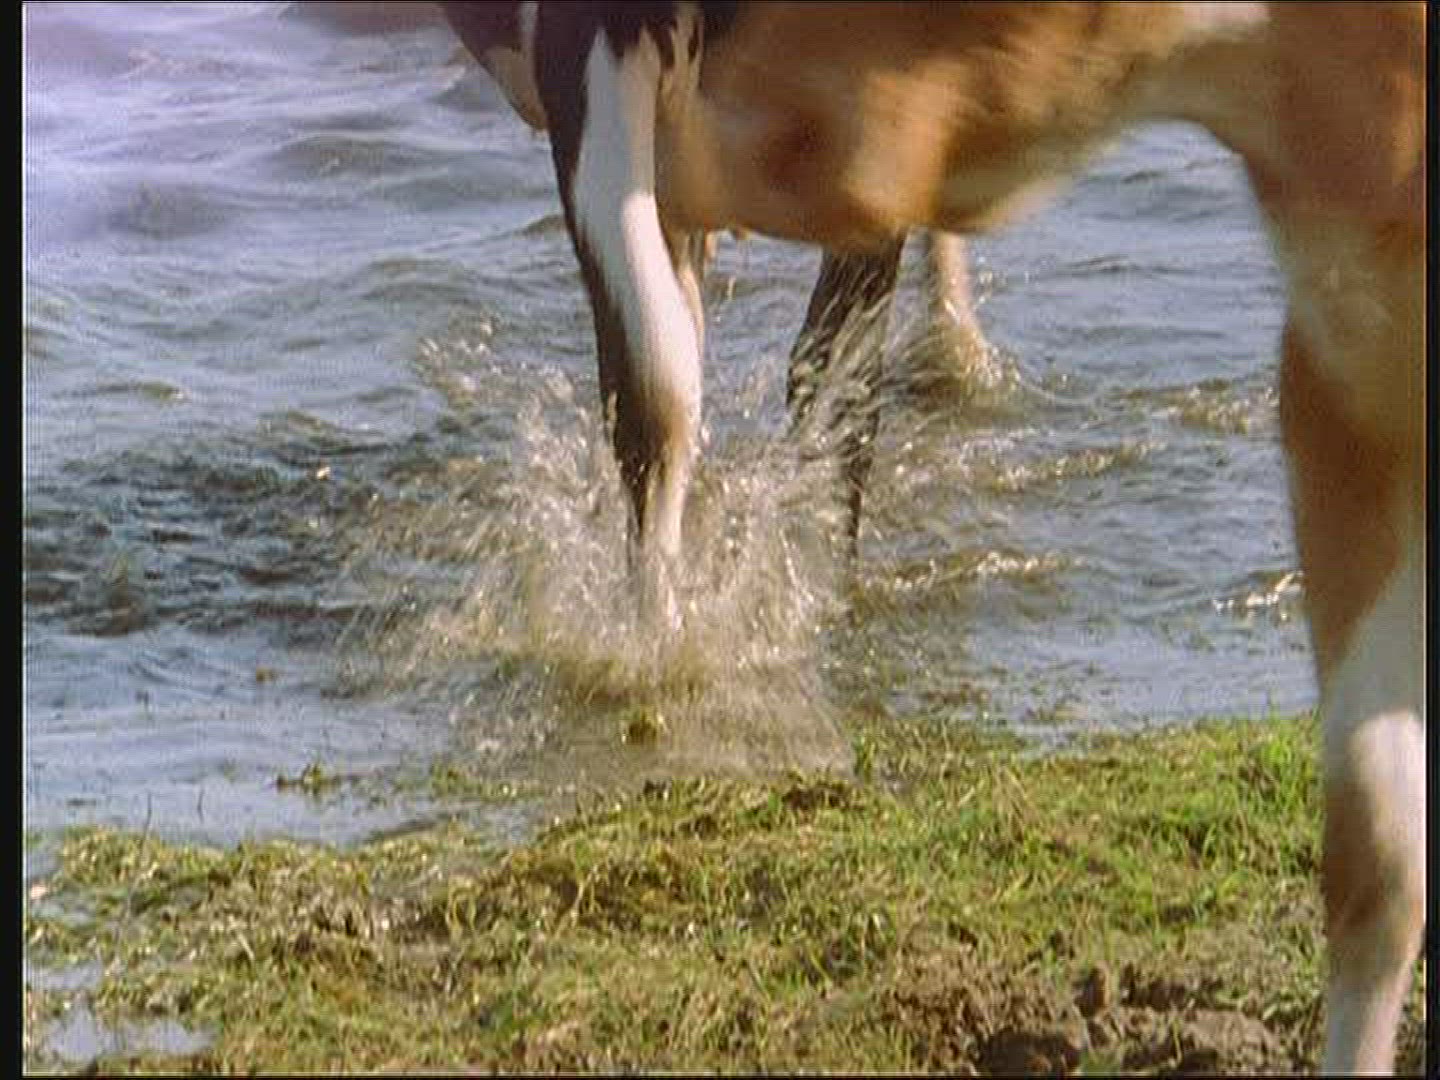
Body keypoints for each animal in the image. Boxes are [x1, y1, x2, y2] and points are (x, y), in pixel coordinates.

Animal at [440, 1, 992, 622]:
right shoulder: (590, 42)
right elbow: (657, 385)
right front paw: (660, 628)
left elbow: (838, 380)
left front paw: (814, 574)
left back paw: (955, 354)